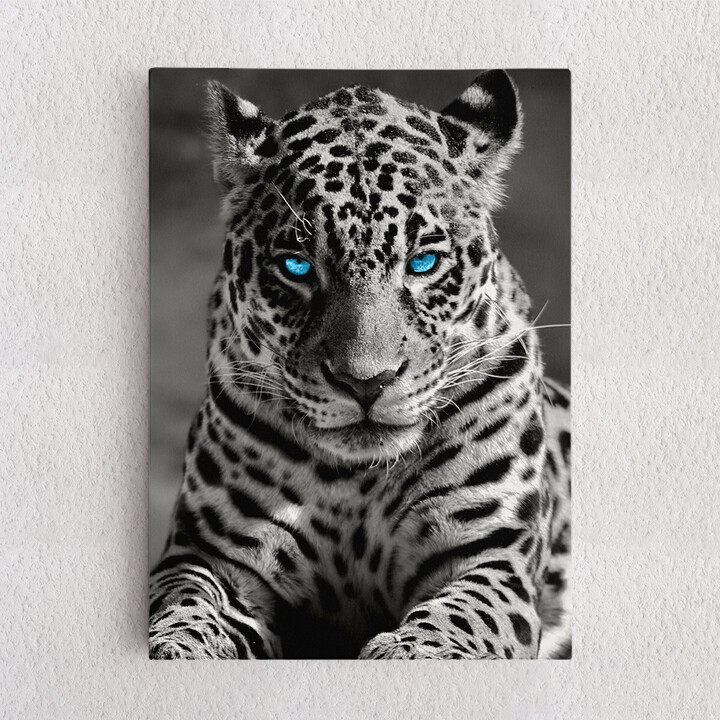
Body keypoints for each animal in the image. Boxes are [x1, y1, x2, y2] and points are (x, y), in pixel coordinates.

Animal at [149, 70, 571, 660]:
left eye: (423, 262)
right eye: (297, 267)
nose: (365, 383)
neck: (357, 481)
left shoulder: (490, 554)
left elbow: (460, 617)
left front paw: (409, 650)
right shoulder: (211, 553)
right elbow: (184, 606)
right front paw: (176, 646)